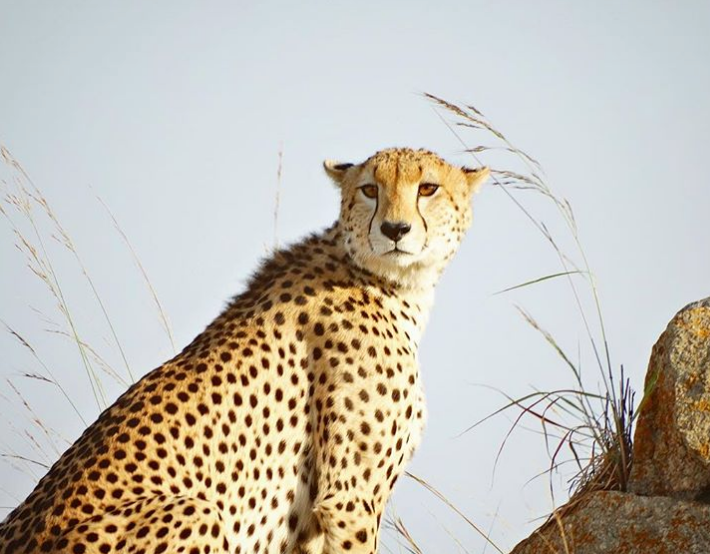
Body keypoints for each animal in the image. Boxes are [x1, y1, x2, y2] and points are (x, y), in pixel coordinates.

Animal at [0, 147, 489, 554]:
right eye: (370, 189)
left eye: (428, 188)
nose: (394, 229)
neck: (385, 280)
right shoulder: (349, 498)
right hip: (196, 512)